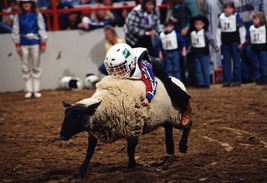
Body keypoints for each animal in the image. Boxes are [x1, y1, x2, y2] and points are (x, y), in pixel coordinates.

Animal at [60, 76, 193, 177]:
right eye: (65, 114)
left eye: (78, 115)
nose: (62, 135)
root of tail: (177, 80)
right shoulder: (93, 133)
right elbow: (89, 152)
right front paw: (81, 172)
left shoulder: (133, 130)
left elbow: (130, 150)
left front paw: (132, 166)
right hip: (167, 117)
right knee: (168, 128)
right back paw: (170, 149)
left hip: (177, 115)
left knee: (188, 125)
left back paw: (182, 147)